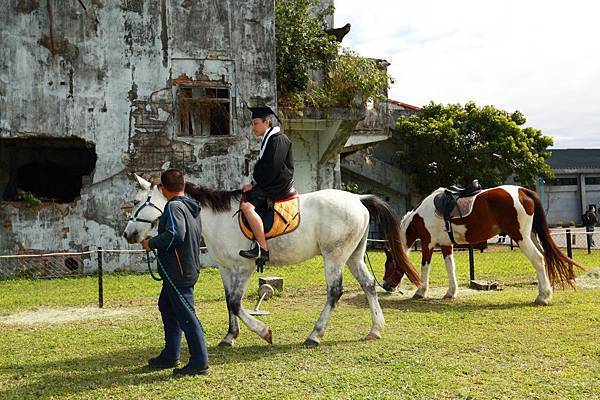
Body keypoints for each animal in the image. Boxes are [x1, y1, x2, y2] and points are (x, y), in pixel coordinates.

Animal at [123, 175, 422, 346]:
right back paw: (375, 329)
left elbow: (236, 304)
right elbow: (228, 302)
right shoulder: (225, 268)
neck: (216, 217)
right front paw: (230, 337)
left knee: (334, 292)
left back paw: (314, 335)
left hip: (334, 256)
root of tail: (358, 198)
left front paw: (263, 332)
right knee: (369, 285)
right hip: (353, 256)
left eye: (137, 201)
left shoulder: (243, 268)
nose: (128, 234)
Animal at [382, 186, 584, 304]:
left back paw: (542, 296)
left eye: (389, 265)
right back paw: (545, 293)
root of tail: (522, 191)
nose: (385, 286)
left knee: (538, 259)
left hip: (521, 237)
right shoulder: (446, 245)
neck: (421, 217)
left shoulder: (427, 244)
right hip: (531, 236)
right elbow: (450, 268)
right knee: (544, 258)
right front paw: (451, 292)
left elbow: (425, 267)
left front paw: (421, 291)